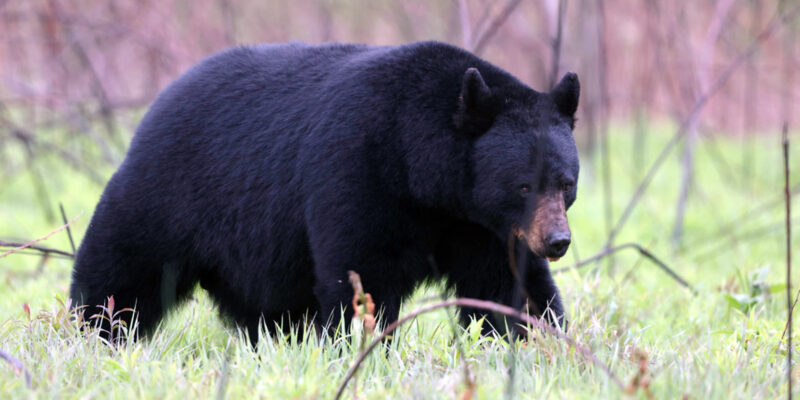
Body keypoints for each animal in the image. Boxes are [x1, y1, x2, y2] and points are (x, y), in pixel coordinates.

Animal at [69, 41, 580, 342]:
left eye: (566, 183)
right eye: (523, 185)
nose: (557, 241)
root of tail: (161, 100)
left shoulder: (479, 226)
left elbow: (506, 284)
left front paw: (542, 340)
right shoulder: (359, 172)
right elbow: (362, 271)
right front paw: (360, 347)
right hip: (170, 189)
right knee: (124, 265)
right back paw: (95, 328)